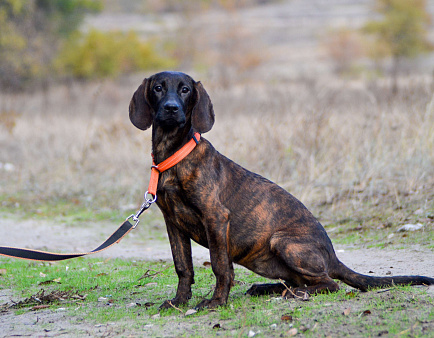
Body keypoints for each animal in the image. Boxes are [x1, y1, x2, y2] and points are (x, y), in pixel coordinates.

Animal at [129, 71, 434, 308]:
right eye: (158, 88)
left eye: (185, 90)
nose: (171, 108)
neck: (174, 154)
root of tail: (333, 257)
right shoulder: (173, 223)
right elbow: (183, 267)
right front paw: (179, 302)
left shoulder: (216, 218)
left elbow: (219, 266)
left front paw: (216, 302)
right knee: (296, 279)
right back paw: (269, 289)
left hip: (283, 241)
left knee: (329, 283)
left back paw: (296, 293)